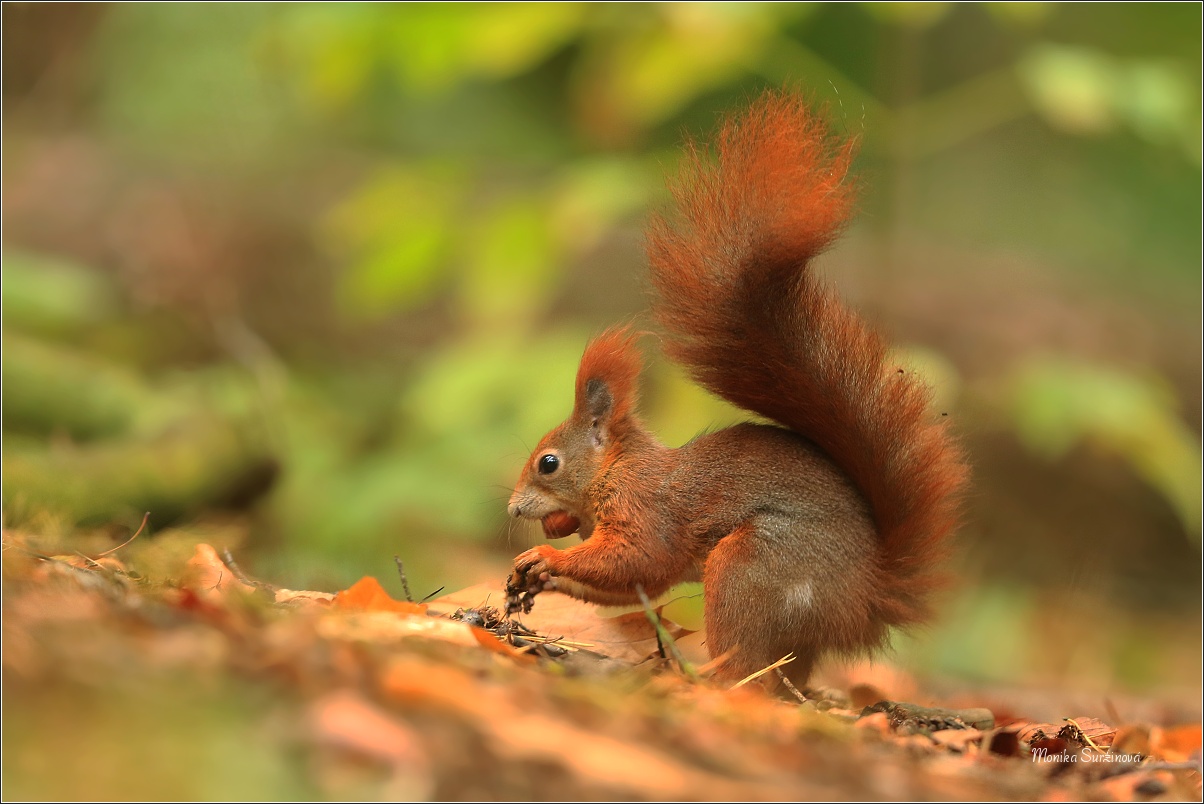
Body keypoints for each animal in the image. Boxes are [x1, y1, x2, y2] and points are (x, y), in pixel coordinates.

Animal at [503, 92, 963, 683]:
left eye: (548, 463)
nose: (513, 510)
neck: (619, 469)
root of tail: (866, 599)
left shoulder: (646, 512)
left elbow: (634, 559)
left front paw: (545, 562)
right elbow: (639, 581)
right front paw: (541, 577)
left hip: (750, 569)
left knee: (746, 666)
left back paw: (706, 681)